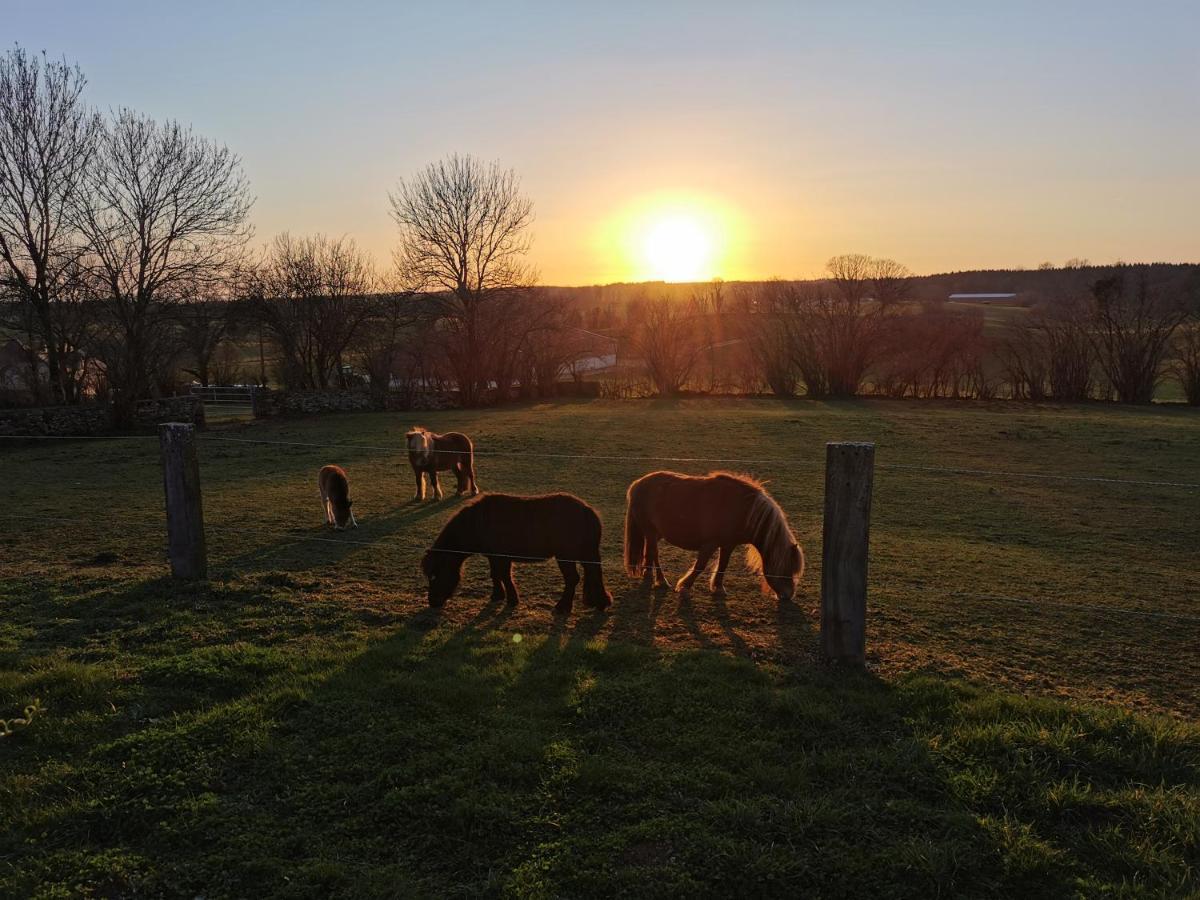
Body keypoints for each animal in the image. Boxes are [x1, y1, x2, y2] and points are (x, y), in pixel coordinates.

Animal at [420, 489, 609, 619]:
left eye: (435, 575)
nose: (432, 602)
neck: (477, 522)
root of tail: (587, 510)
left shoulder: (501, 557)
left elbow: (503, 575)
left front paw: (511, 600)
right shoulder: (494, 556)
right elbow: (496, 575)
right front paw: (497, 596)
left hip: (566, 557)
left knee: (572, 579)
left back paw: (563, 606)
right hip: (585, 554)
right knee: (592, 574)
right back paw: (600, 603)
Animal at [619, 468, 806, 602]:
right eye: (786, 567)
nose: (788, 595)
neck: (743, 510)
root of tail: (637, 484)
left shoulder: (728, 545)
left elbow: (723, 565)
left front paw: (718, 588)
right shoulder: (709, 544)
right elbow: (700, 566)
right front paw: (685, 587)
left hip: (656, 534)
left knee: (649, 553)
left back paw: (648, 574)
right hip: (651, 532)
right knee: (654, 553)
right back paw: (661, 580)